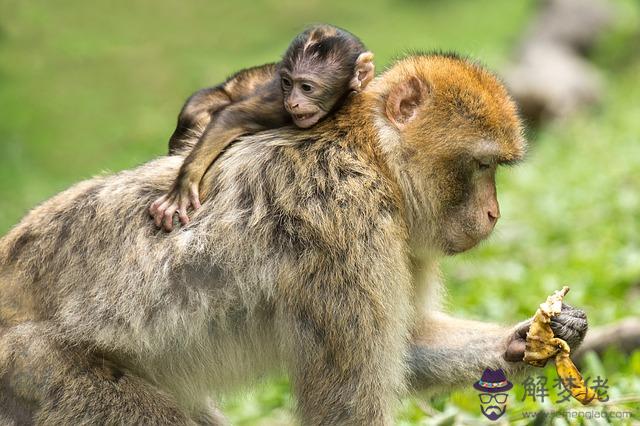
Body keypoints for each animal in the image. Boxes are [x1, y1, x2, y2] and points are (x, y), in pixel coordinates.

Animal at [0, 53, 588, 422]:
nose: (492, 213)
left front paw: (532, 337)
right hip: (35, 370)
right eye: (483, 165)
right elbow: (348, 407)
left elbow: (408, 344)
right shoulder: (345, 227)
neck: (371, 156)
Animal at [151, 24, 376, 230]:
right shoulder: (278, 104)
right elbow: (232, 117)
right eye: (287, 83)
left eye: (306, 87)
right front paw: (183, 186)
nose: (293, 102)